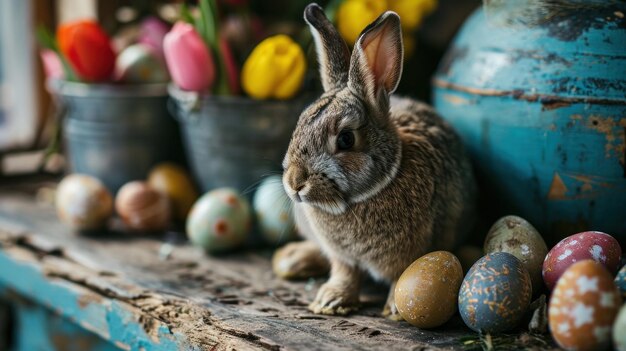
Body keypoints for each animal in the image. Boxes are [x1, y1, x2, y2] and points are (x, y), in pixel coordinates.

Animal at [280, 4, 476, 320]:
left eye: (346, 139)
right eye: (299, 124)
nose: (295, 183)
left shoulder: (412, 252)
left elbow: (400, 276)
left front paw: (396, 309)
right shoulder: (343, 257)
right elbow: (344, 273)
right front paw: (330, 301)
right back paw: (293, 260)